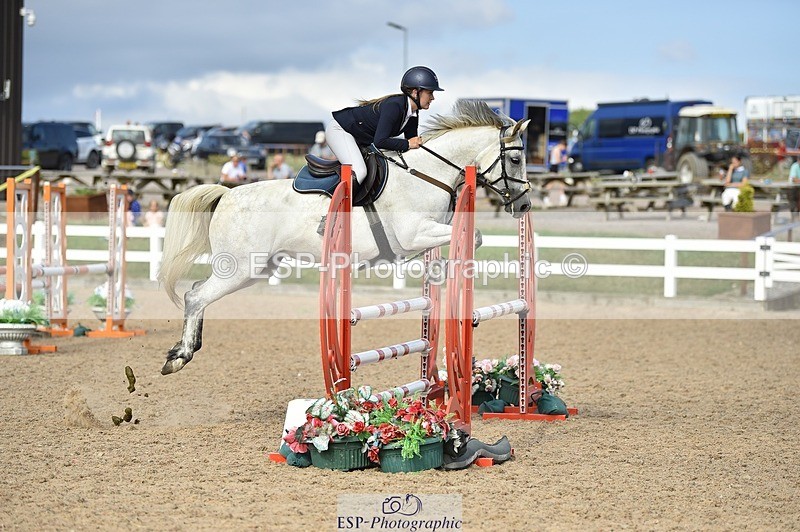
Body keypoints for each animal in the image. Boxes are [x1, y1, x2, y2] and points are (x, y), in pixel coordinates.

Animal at [157, 100, 532, 375]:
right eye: (515, 158)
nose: (525, 204)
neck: (428, 175)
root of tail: (227, 194)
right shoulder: (414, 233)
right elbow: (474, 236)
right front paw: (446, 269)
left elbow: (464, 239)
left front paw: (437, 273)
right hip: (240, 268)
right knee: (196, 295)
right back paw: (180, 356)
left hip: (256, 269)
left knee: (197, 291)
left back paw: (184, 349)